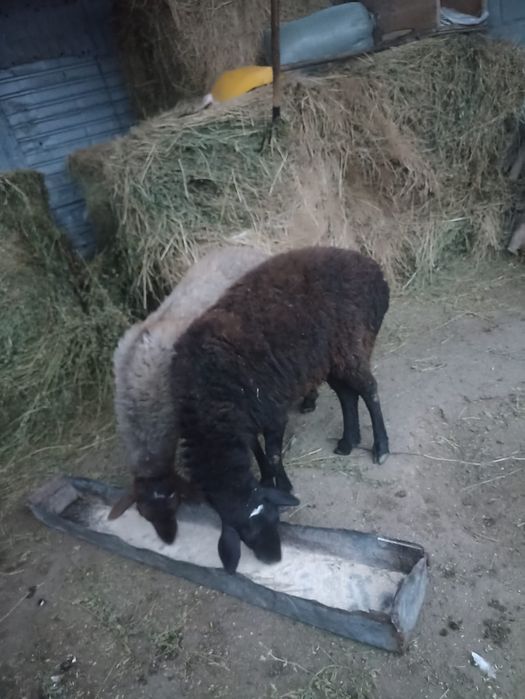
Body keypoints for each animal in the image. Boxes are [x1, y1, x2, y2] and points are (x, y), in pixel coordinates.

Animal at [170, 246, 390, 573]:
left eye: (275, 520)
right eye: (245, 536)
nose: (273, 558)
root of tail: (373, 269)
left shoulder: (271, 410)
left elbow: (273, 454)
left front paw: (283, 485)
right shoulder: (246, 419)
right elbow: (259, 451)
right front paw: (265, 478)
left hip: (352, 343)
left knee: (369, 391)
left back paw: (381, 447)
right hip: (330, 356)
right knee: (347, 395)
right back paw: (347, 442)